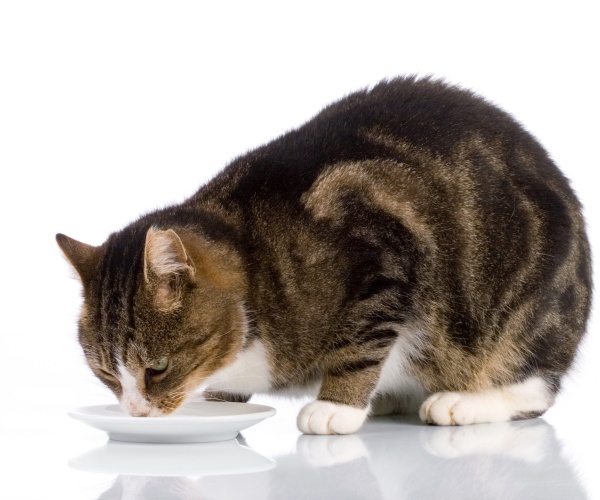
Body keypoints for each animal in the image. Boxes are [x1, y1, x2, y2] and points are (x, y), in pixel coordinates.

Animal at [56, 77, 592, 434]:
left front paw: (338, 405)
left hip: (526, 313)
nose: (136, 412)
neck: (257, 257)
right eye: (106, 373)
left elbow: (360, 343)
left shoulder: (381, 252)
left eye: (158, 368)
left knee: (534, 385)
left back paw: (463, 402)